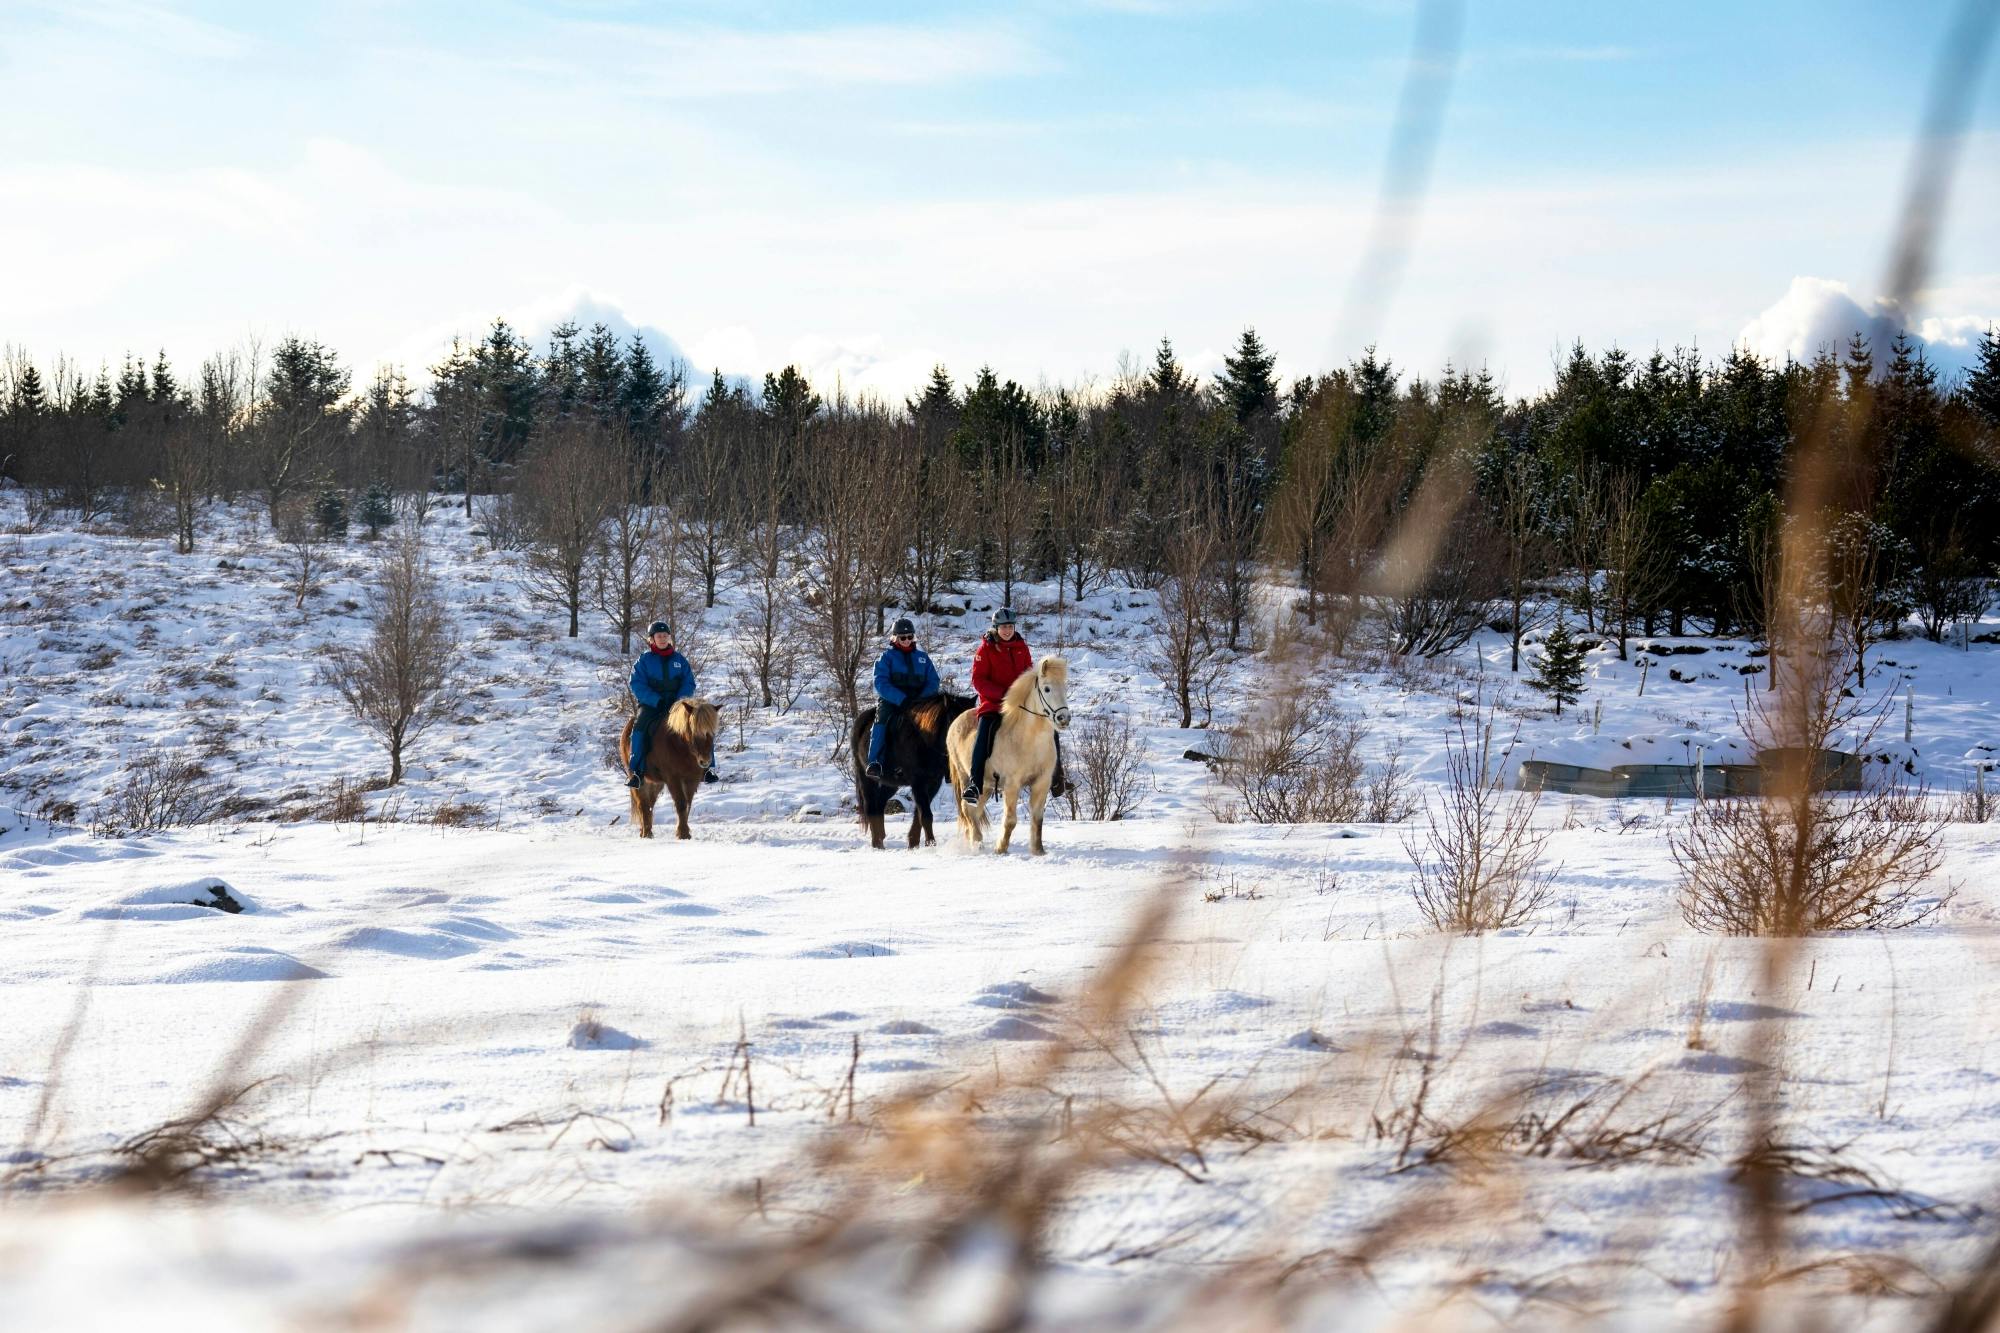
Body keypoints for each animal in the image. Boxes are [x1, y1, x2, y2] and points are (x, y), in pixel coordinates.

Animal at [618, 698, 719, 840]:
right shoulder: (673, 779)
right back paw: (646, 833)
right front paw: (682, 833)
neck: (681, 747)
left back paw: (646, 831)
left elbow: (687, 805)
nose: (705, 761)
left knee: (650, 804)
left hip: (655, 783)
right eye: (693, 730)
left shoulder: (691, 780)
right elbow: (681, 804)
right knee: (642, 804)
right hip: (638, 779)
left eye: (712, 732)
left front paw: (684, 832)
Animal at [849, 691, 978, 849]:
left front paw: (913, 843)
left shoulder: (933, 783)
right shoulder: (918, 783)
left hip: (890, 783)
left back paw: (880, 837)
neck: (923, 739)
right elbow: (926, 815)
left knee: (879, 803)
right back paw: (877, 844)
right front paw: (930, 844)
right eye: (953, 720)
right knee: (871, 807)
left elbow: (919, 814)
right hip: (866, 778)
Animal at [946, 657, 1071, 855]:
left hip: (987, 785)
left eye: (1064, 688)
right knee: (968, 808)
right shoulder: (1012, 784)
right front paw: (1001, 849)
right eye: (1047, 689)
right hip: (965, 776)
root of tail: (956, 721)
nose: (1063, 718)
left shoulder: (1042, 783)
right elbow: (1011, 820)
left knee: (976, 811)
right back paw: (977, 843)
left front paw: (1038, 851)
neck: (1030, 740)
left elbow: (1037, 818)